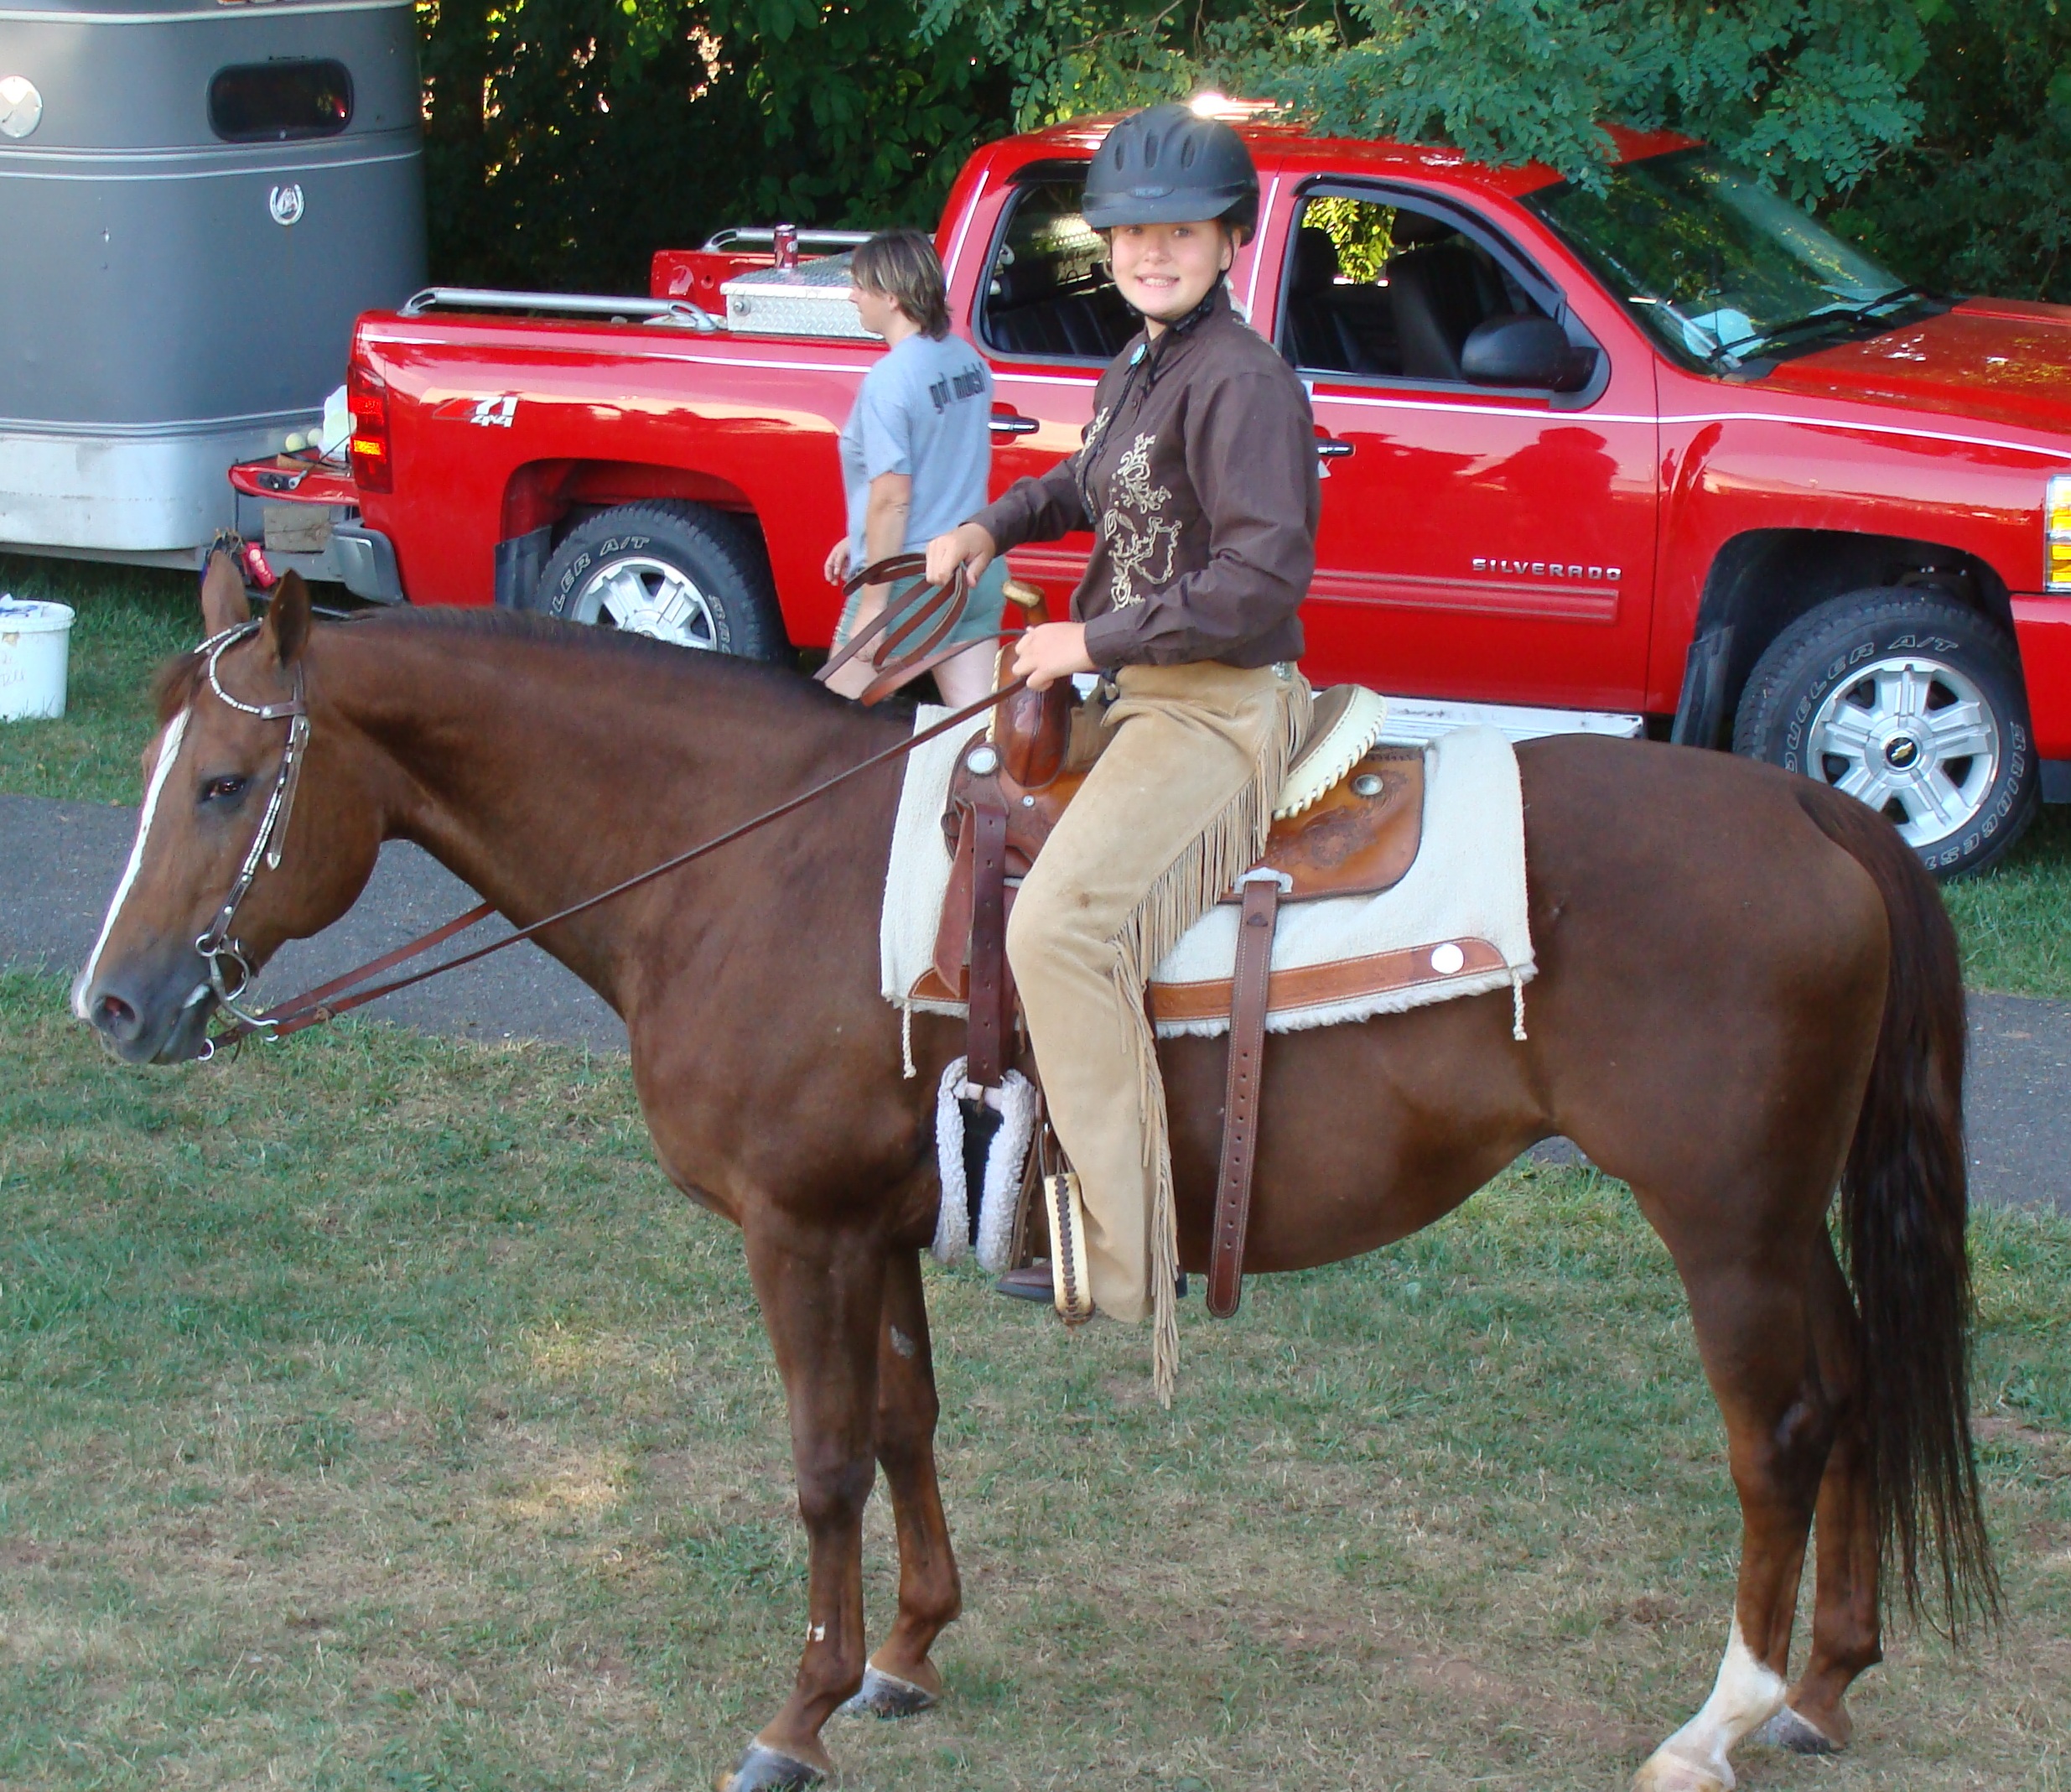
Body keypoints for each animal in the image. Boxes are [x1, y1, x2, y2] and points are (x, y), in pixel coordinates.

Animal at [73, 571, 1996, 1789]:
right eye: (159, 771)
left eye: (227, 783)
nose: (114, 1005)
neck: (741, 862)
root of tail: (1825, 813)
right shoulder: (875, 1219)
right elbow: (906, 1424)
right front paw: (908, 1659)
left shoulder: (794, 1230)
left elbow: (822, 1464)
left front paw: (796, 1716)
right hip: (1788, 1220)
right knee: (1854, 1388)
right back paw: (1824, 1687)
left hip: (1722, 1226)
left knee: (1783, 1431)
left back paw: (1715, 1720)